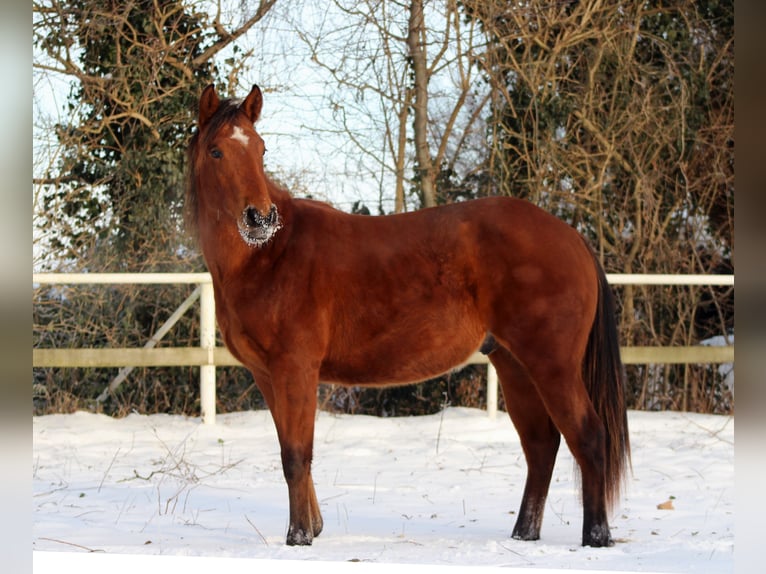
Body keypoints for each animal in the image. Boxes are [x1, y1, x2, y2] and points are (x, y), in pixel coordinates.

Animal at [185, 83, 630, 548]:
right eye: (217, 151)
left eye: (261, 149)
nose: (261, 217)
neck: (269, 256)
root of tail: (572, 238)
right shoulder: (269, 376)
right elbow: (296, 454)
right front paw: (314, 527)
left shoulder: (295, 369)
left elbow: (295, 455)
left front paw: (299, 536)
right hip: (514, 364)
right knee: (541, 445)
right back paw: (523, 533)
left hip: (553, 366)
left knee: (589, 436)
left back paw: (596, 536)